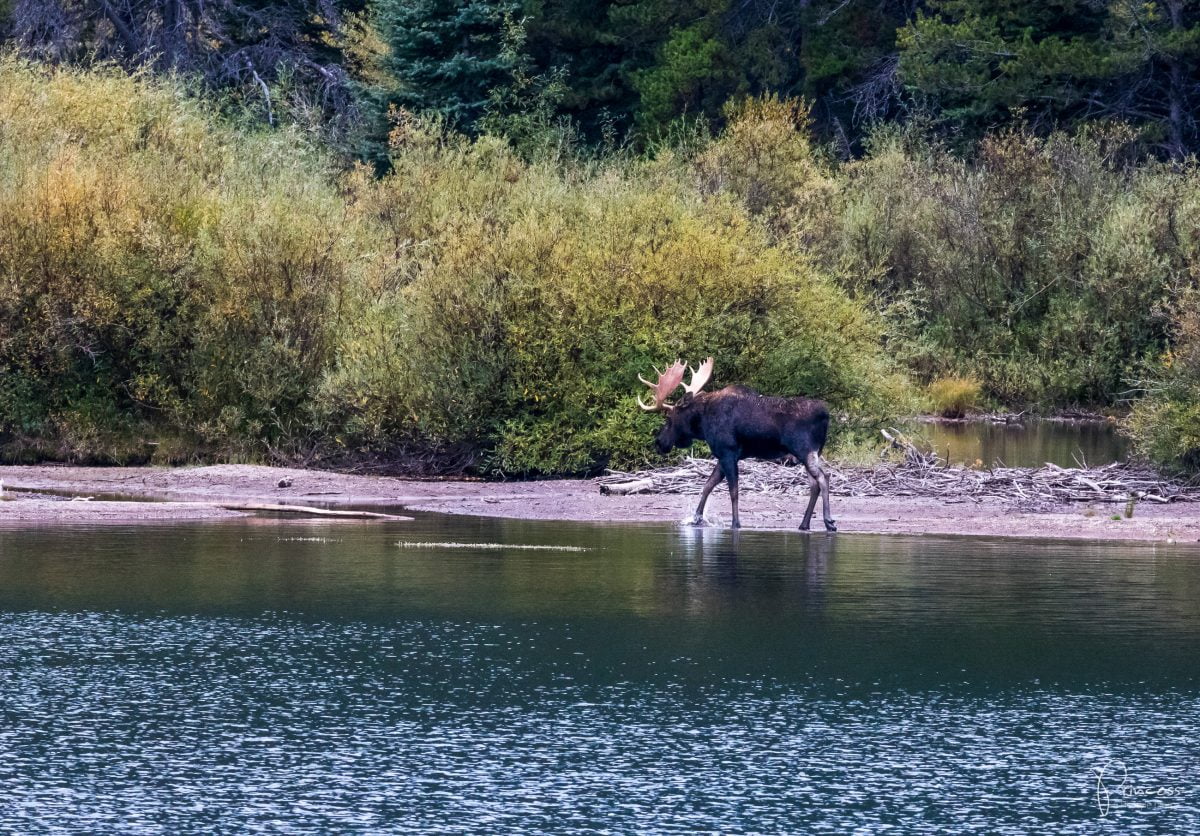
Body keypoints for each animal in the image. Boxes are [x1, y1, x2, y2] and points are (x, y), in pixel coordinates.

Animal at [638, 357, 835, 527]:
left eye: (669, 418)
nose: (659, 442)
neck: (703, 423)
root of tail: (826, 415)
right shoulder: (722, 455)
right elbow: (708, 485)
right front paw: (696, 518)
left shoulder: (728, 452)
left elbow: (733, 491)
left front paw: (735, 523)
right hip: (811, 453)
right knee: (814, 485)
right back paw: (804, 524)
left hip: (804, 449)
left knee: (823, 477)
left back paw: (828, 521)